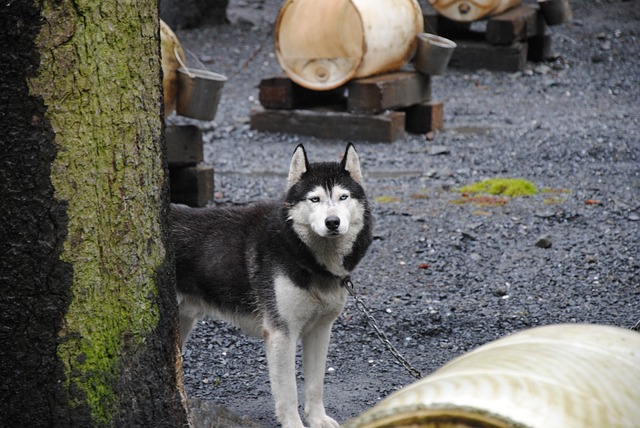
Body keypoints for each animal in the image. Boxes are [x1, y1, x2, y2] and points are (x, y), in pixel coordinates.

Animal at [172, 144, 372, 428]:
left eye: (343, 197)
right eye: (314, 199)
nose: (332, 222)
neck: (307, 257)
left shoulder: (320, 330)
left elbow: (315, 384)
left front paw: (317, 418)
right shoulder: (281, 334)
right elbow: (288, 392)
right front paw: (295, 424)